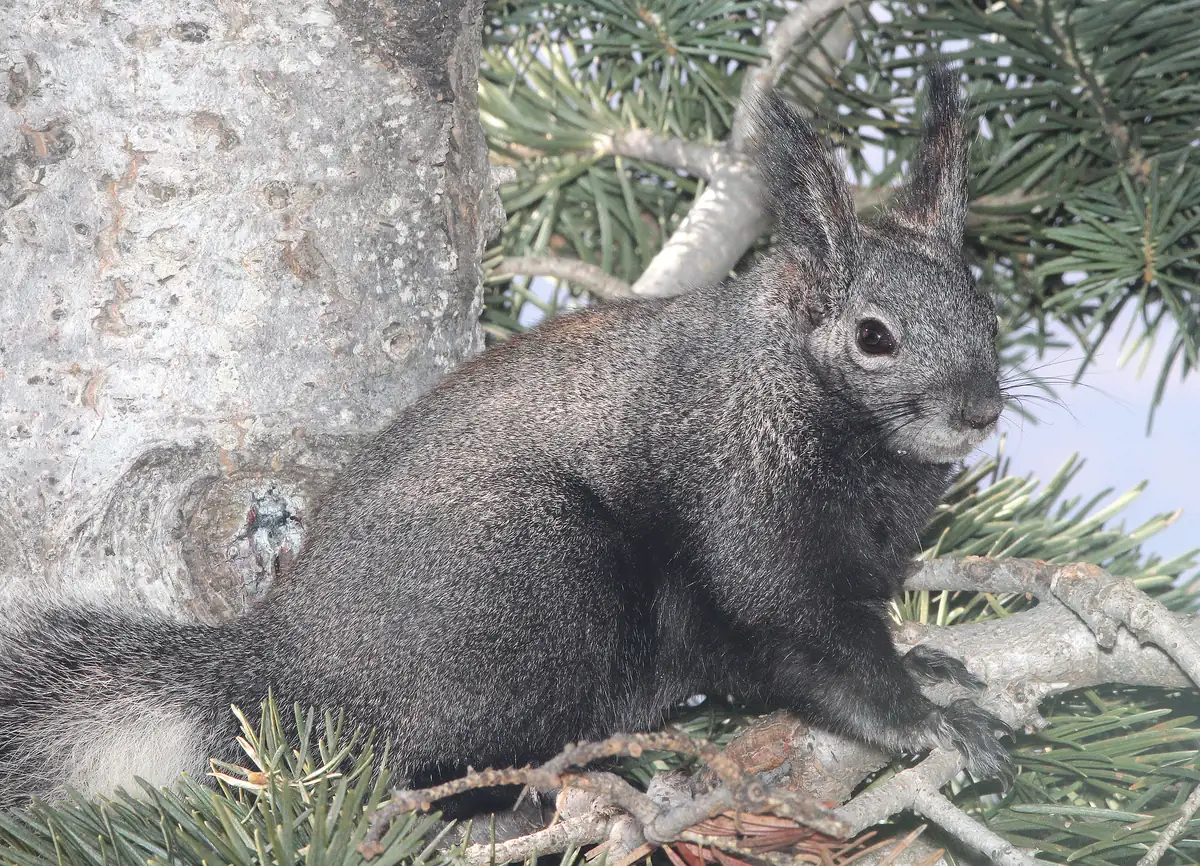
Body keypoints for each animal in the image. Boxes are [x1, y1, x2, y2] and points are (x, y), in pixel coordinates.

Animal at [0, 68, 1009, 809]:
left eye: (985, 305)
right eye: (874, 337)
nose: (980, 411)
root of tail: (289, 668)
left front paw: (929, 659)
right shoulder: (753, 509)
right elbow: (813, 644)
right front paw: (926, 720)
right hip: (530, 577)